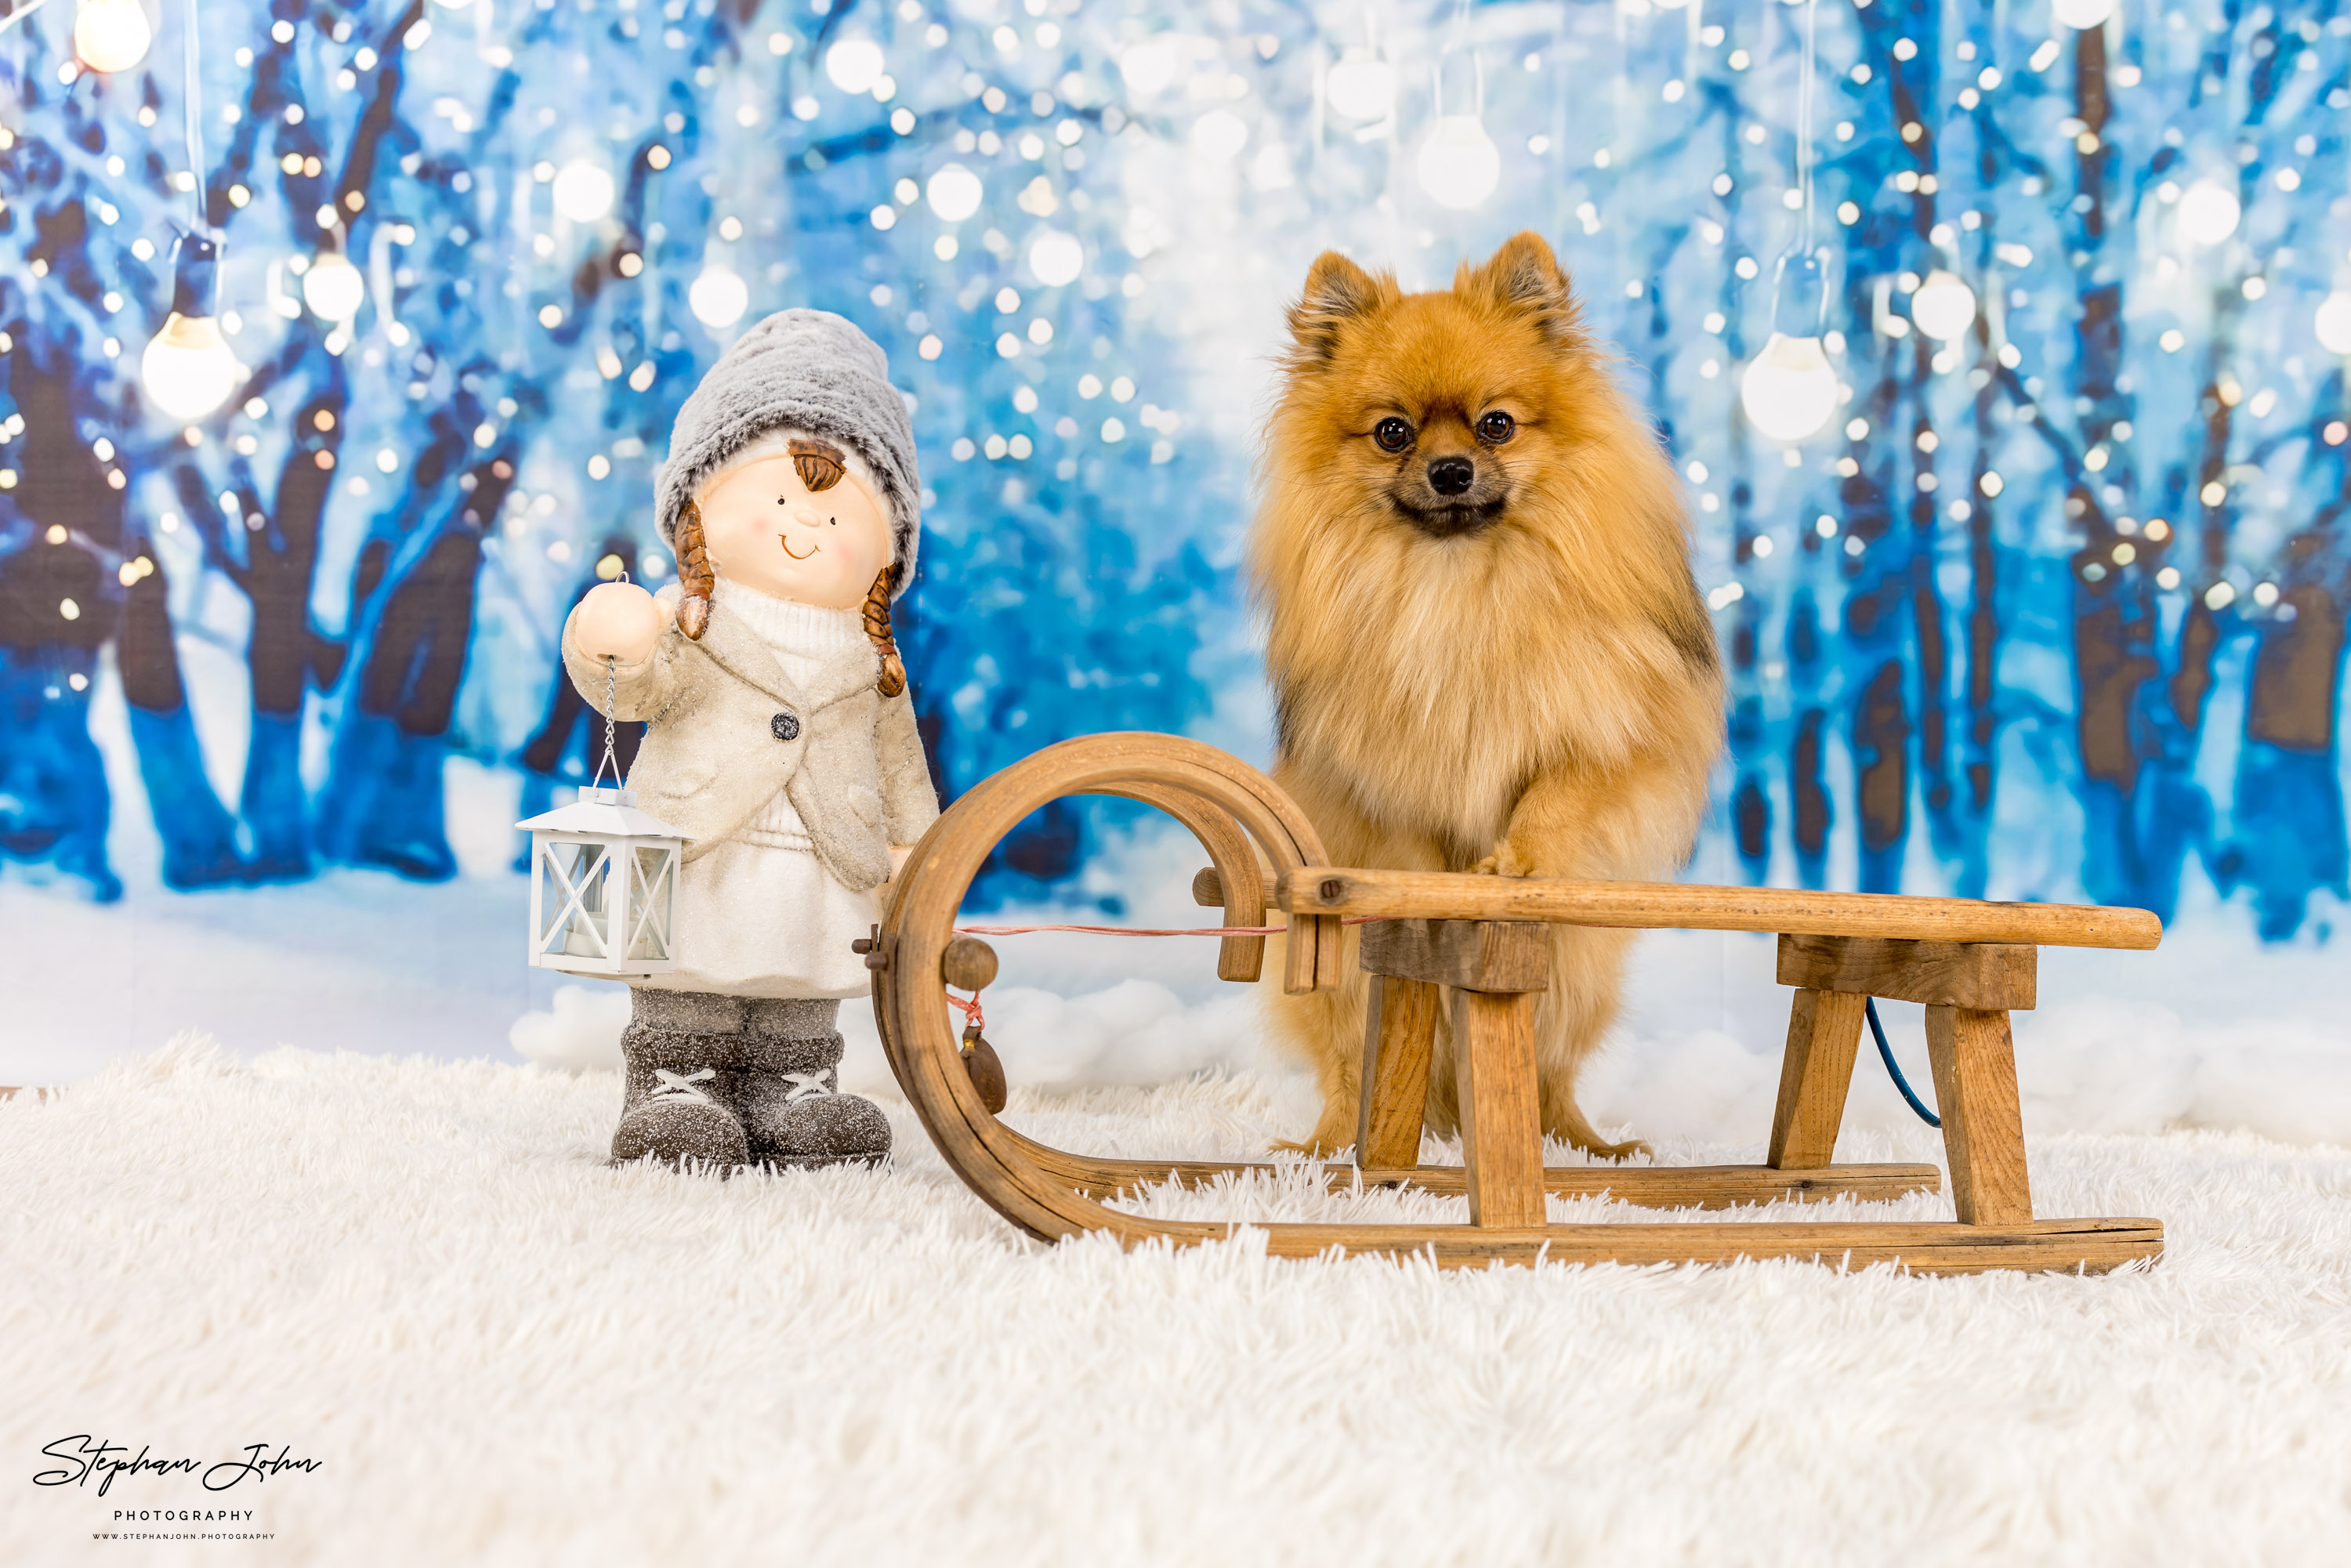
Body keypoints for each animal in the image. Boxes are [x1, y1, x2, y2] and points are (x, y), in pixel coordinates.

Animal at [1251, 236, 1730, 1166]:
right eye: (1393, 432)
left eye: (1495, 424)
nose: (1450, 470)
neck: (1464, 585)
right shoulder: (1392, 779)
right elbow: (1415, 845)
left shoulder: (1603, 733)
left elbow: (1558, 794)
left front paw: (1517, 860)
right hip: (1337, 983)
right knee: (1347, 1069)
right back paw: (1324, 1149)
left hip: (1576, 973)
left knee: (1549, 1077)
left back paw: (1589, 1147)